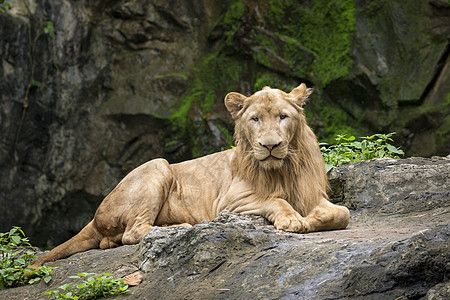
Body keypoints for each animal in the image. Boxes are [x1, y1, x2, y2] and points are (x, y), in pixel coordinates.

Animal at [29, 84, 350, 270]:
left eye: (283, 116)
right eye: (255, 119)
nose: (270, 146)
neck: (283, 168)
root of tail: (94, 217)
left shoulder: (312, 194)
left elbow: (342, 213)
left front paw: (312, 219)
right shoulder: (231, 203)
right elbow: (275, 201)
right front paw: (294, 220)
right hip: (158, 164)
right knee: (133, 232)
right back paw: (179, 227)